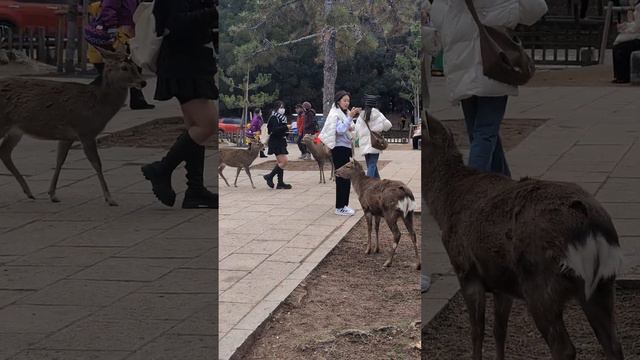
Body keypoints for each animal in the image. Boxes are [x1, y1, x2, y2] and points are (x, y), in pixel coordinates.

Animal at [0, 47, 146, 207]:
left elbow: (60, 160)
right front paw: (110, 198)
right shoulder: (86, 131)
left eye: (136, 66)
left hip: (15, 131)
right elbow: (97, 163)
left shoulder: (68, 135)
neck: (97, 107)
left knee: (4, 152)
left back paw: (29, 192)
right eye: (124, 67)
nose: (143, 82)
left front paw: (52, 194)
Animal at [422, 115, 624, 360]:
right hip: (603, 283)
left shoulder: (465, 269)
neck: (443, 205)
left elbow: (477, 330)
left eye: (418, 139)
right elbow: (499, 330)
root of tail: (589, 223)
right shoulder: (502, 283)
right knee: (613, 343)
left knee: (564, 348)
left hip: (540, 282)